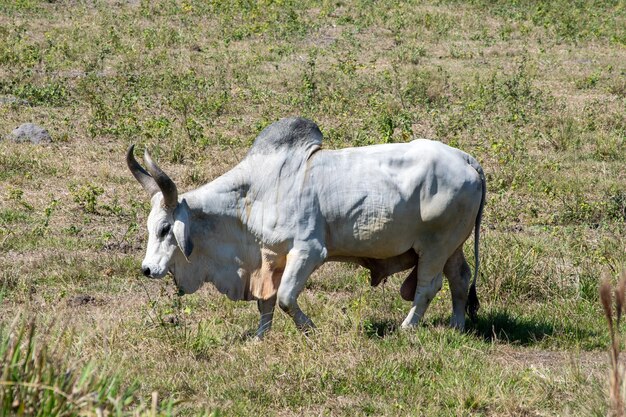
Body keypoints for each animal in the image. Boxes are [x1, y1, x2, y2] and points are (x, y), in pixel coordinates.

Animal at [127, 117, 486, 338]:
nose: (147, 269)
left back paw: (407, 328)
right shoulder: (270, 258)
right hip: (451, 246)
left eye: (164, 229)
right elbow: (266, 302)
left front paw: (310, 330)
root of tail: (466, 159)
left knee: (428, 286)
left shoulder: (309, 251)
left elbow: (286, 297)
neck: (254, 193)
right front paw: (259, 337)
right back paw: (457, 326)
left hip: (435, 246)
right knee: (459, 278)